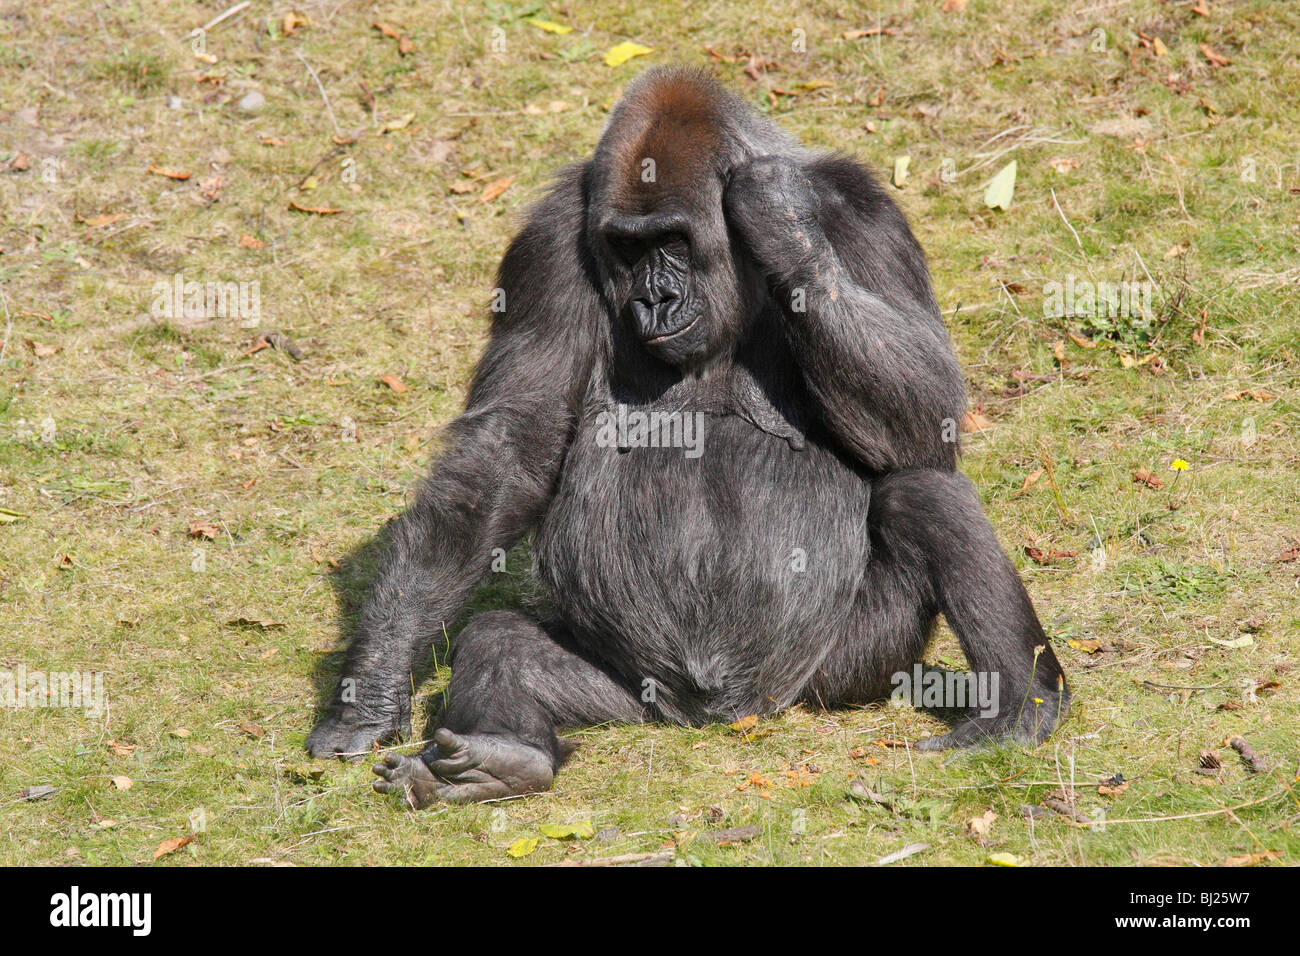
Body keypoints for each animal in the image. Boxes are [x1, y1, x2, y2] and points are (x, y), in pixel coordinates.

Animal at [309, 65, 1071, 806]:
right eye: (627, 248)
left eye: (673, 241)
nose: (657, 298)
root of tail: (726, 711)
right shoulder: (548, 243)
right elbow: (507, 450)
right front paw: (370, 692)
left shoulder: (863, 214)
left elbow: (926, 414)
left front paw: (783, 223)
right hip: (634, 697)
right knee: (502, 642)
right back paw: (502, 759)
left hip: (837, 671)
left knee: (924, 495)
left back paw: (1021, 704)